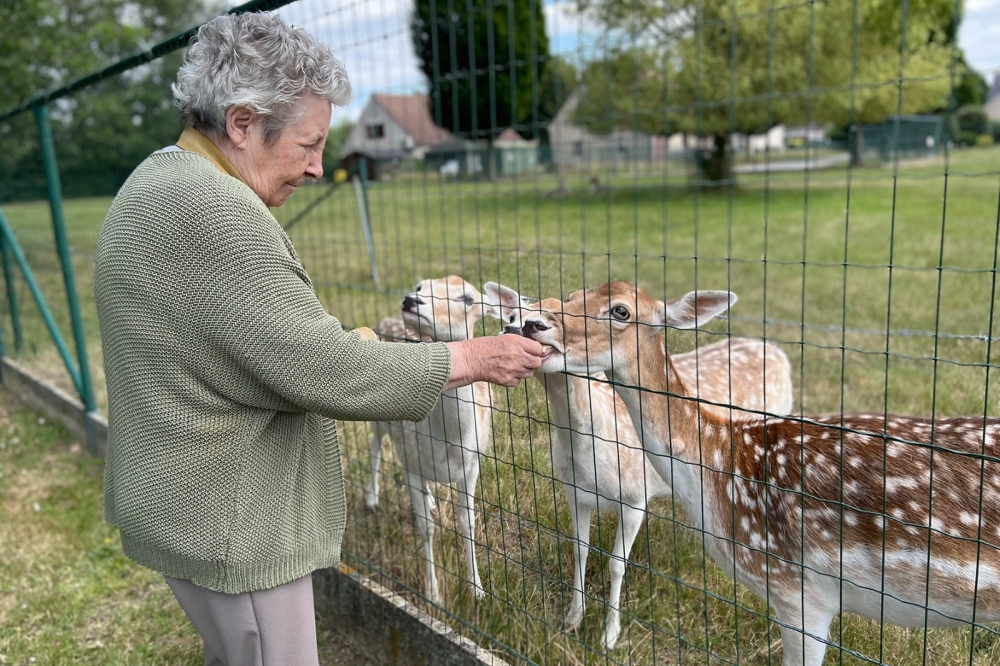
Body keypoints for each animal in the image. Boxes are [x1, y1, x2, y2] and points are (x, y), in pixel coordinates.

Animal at [366, 274, 498, 600]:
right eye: (420, 286)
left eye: (467, 298)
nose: (410, 300)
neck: (449, 442)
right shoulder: (410, 463)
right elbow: (425, 527)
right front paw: (433, 593)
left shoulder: (473, 465)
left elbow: (468, 522)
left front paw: (478, 591)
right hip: (376, 415)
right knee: (375, 444)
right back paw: (372, 499)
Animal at [486, 282, 796, 648]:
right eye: (511, 314)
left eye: (620, 311)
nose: (521, 325)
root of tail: (774, 349)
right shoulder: (573, 492)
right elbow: (579, 550)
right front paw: (572, 619)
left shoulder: (635, 496)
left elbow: (617, 564)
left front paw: (610, 635)